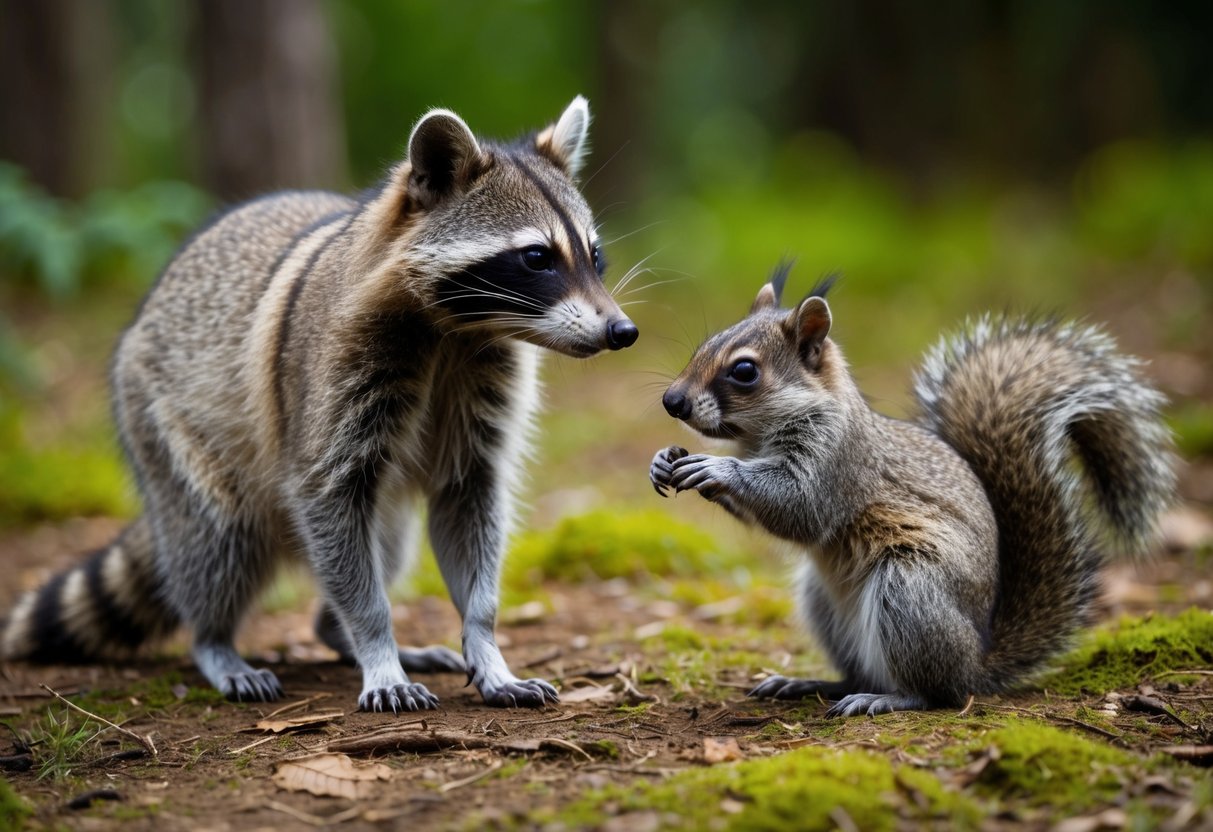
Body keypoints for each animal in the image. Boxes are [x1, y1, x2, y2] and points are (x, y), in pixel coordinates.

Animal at [0, 96, 639, 712]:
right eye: (537, 257)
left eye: (594, 256)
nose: (622, 331)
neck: (455, 329)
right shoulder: (332, 375)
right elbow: (325, 495)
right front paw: (376, 644)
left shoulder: (481, 387)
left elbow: (467, 496)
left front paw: (484, 643)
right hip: (162, 420)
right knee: (216, 539)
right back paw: (216, 640)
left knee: (388, 543)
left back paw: (333, 631)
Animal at [650, 263, 1175, 715]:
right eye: (705, 344)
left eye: (744, 371)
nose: (672, 401)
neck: (759, 437)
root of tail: (977, 660)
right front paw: (665, 461)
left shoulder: (839, 461)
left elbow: (800, 509)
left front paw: (719, 467)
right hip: (823, 603)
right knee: (859, 672)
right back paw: (809, 683)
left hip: (910, 592)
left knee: (933, 691)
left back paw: (887, 699)